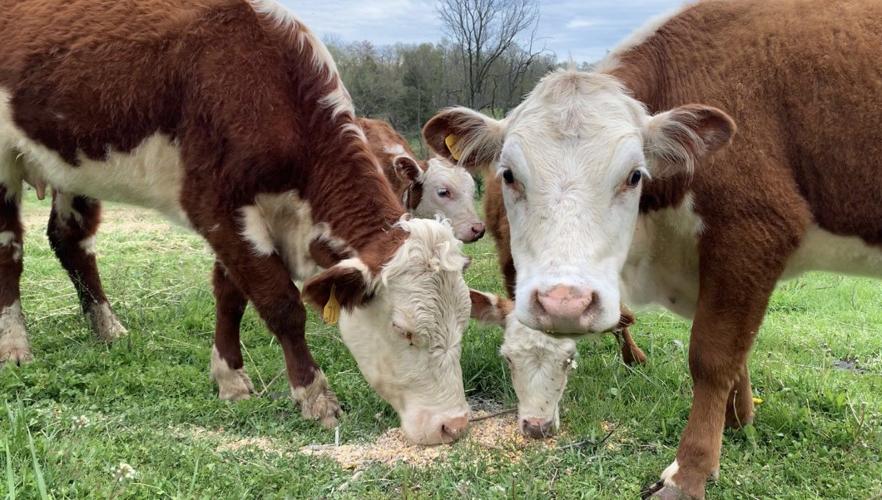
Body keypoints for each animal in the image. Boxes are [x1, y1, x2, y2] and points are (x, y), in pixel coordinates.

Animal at [0, 0, 473, 445]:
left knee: (70, 240)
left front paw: (229, 378)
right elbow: (281, 304)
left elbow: (231, 295)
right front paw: (315, 396)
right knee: (10, 251)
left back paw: (107, 328)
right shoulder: (219, 209)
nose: (453, 425)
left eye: (465, 323)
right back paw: (15, 345)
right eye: (404, 330)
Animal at [424, 0, 882, 494]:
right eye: (508, 174)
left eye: (634, 176)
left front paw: (692, 469)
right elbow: (736, 351)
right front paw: (739, 419)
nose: (564, 303)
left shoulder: (754, 232)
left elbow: (713, 356)